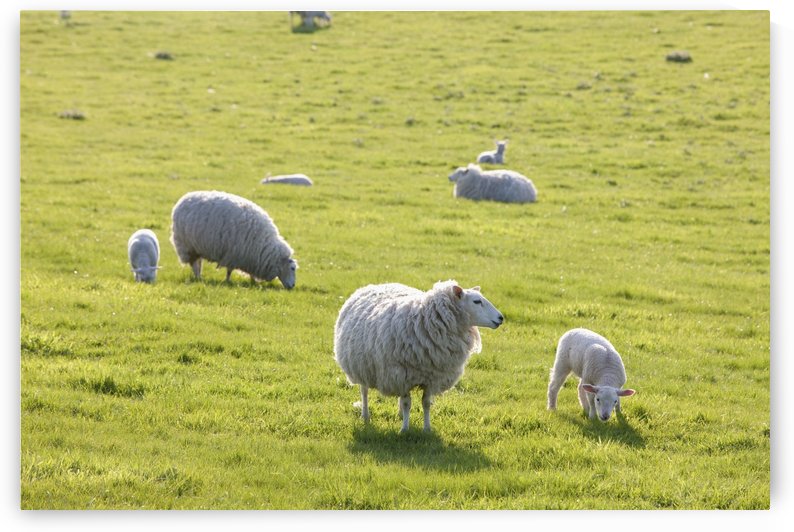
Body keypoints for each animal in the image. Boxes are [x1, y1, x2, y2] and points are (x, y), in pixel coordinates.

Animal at [169, 190, 298, 289]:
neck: (264, 246)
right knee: (194, 264)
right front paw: (227, 281)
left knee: (198, 262)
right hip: (187, 245)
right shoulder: (234, 255)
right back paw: (198, 278)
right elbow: (229, 271)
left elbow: (250, 273)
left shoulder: (250, 258)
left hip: (197, 247)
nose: (292, 286)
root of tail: (184, 197)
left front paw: (253, 282)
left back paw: (199, 276)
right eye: (292, 268)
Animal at [334, 280, 504, 432]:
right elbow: (407, 403)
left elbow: (426, 403)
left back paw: (399, 414)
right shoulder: (401, 376)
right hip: (361, 366)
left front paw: (427, 429)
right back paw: (365, 415)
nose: (501, 318)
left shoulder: (432, 377)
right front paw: (404, 430)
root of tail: (375, 285)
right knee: (364, 391)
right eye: (477, 301)